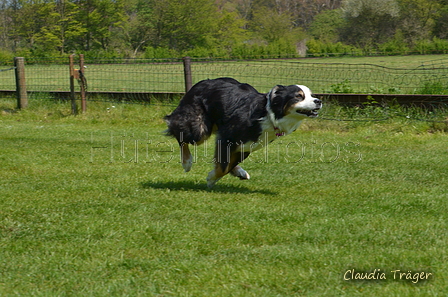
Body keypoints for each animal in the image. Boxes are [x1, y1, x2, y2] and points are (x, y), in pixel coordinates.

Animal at [164, 77, 322, 187]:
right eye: (298, 96)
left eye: (311, 95)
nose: (318, 101)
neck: (267, 114)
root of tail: (199, 84)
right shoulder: (227, 137)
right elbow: (223, 166)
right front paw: (211, 179)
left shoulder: (246, 146)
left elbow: (228, 164)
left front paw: (221, 175)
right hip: (198, 129)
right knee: (178, 131)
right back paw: (187, 162)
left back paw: (239, 172)